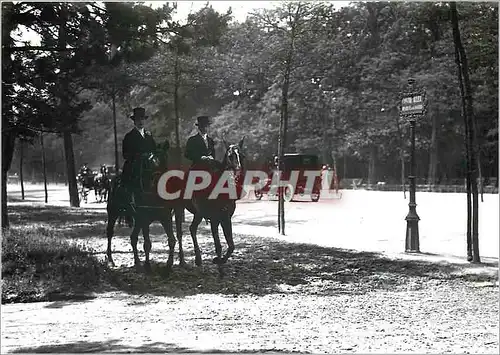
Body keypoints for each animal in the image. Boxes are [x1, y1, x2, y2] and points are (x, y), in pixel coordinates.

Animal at [183, 138, 247, 268]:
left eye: (242, 155)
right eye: (230, 155)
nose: (238, 172)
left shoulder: (225, 218)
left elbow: (231, 245)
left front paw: (220, 260)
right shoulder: (214, 219)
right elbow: (218, 246)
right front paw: (219, 264)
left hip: (198, 214)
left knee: (192, 228)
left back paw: (198, 259)